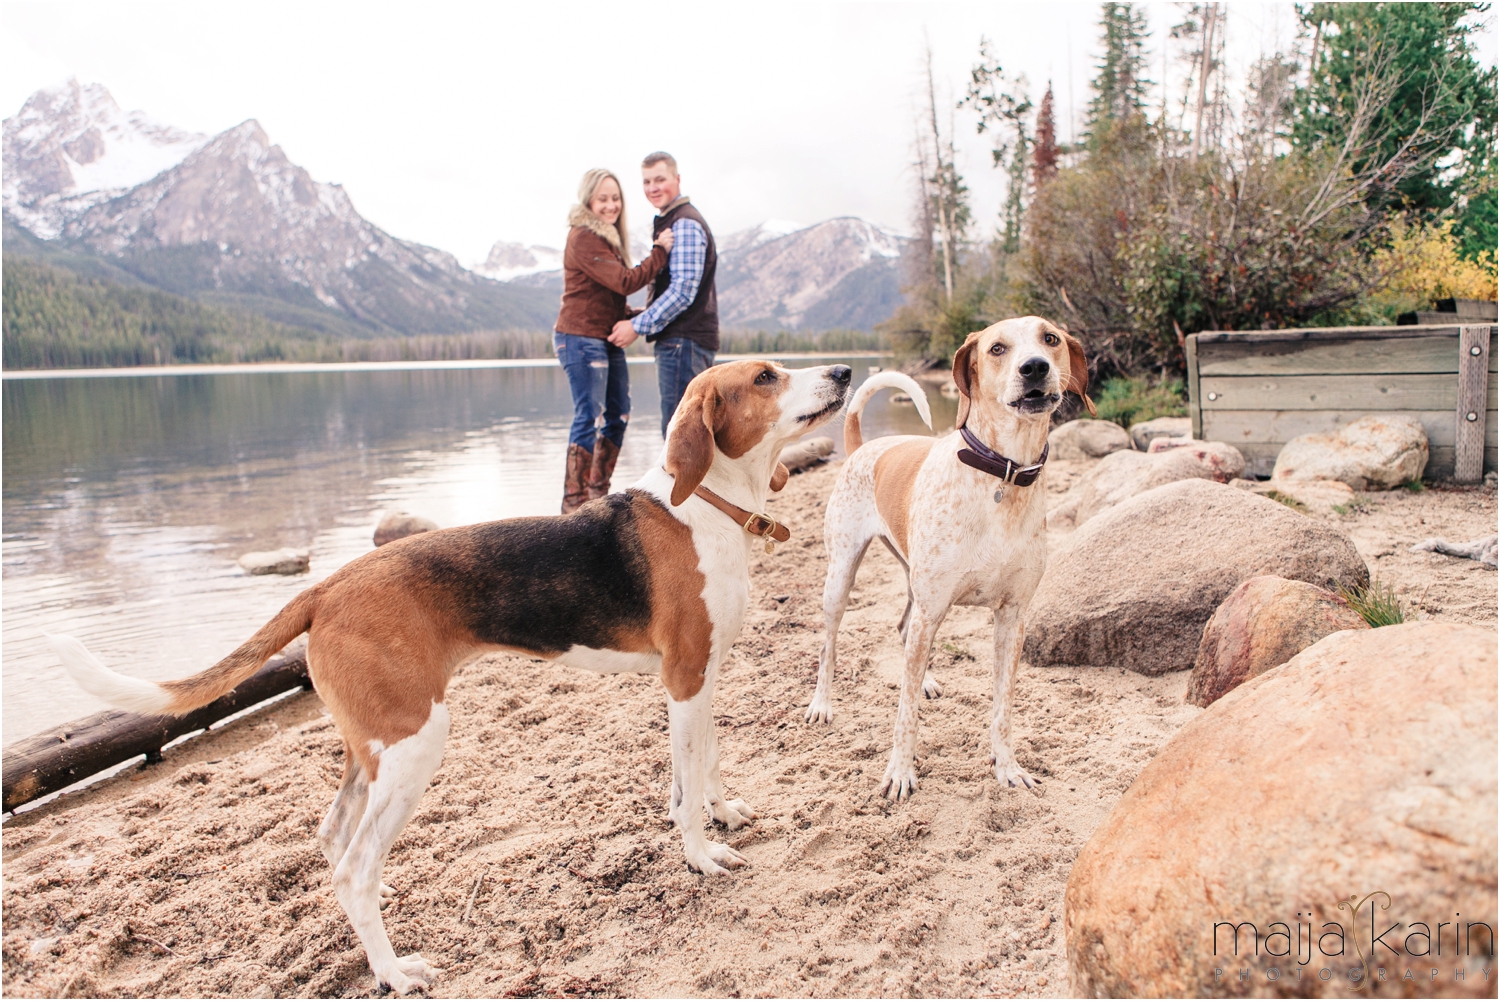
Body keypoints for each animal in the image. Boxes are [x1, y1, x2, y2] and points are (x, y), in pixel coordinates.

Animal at [49, 360, 858, 996]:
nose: (846, 371)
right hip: (418, 739)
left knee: (336, 838)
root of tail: (326, 586)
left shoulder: (706, 677)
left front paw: (723, 813)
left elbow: (708, 766)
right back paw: (393, 970)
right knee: (351, 865)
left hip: (376, 745)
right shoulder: (684, 680)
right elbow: (683, 795)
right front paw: (700, 854)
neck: (710, 505)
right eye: (765, 377)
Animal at [810, 316, 1092, 804]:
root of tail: (863, 446)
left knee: (904, 630)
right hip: (842, 577)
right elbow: (905, 715)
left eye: (1051, 339)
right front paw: (900, 773)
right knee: (831, 645)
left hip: (915, 585)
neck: (1002, 477)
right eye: (997, 348)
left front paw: (1008, 767)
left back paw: (922, 678)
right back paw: (822, 703)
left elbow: (1002, 709)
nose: (1035, 367)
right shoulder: (933, 608)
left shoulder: (1013, 618)